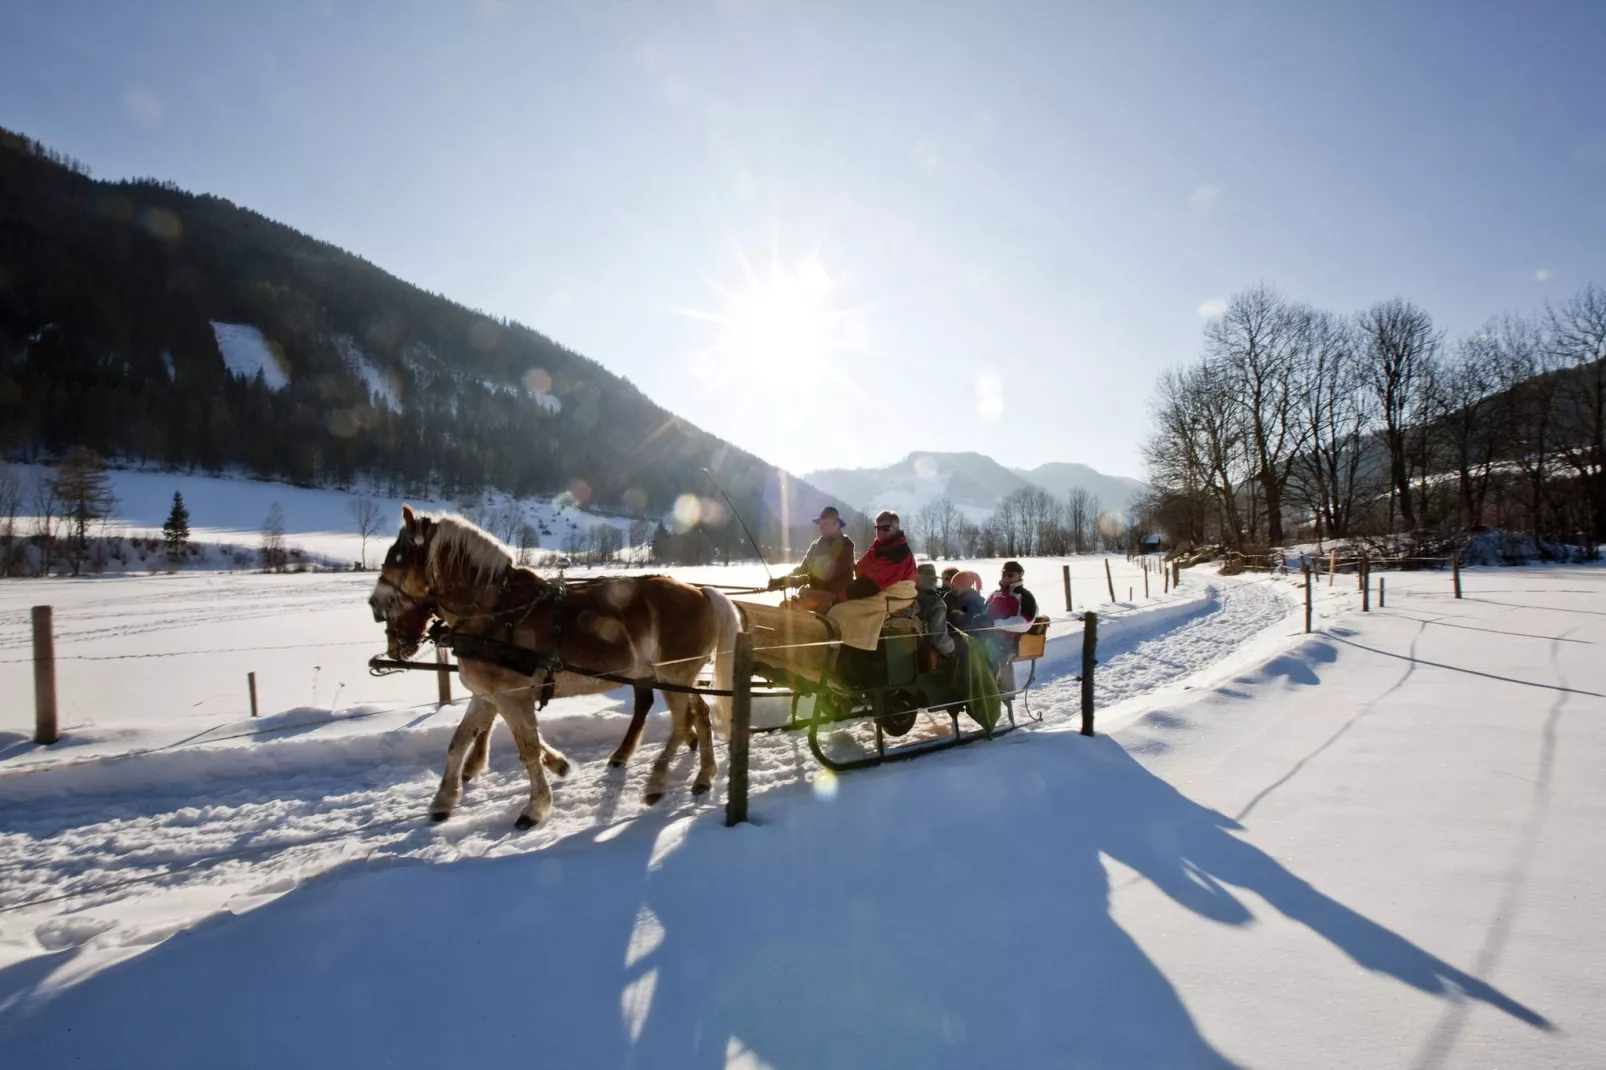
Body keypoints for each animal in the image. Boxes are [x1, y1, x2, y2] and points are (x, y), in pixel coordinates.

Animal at [369, 507, 738, 822]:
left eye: (399, 557)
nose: (373, 605)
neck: (495, 612)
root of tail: (701, 592)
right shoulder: (486, 696)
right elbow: (458, 742)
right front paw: (443, 801)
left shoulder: (512, 697)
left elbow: (528, 750)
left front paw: (536, 807)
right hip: (676, 675)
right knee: (699, 714)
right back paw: (703, 775)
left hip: (673, 673)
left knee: (682, 720)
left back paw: (657, 782)